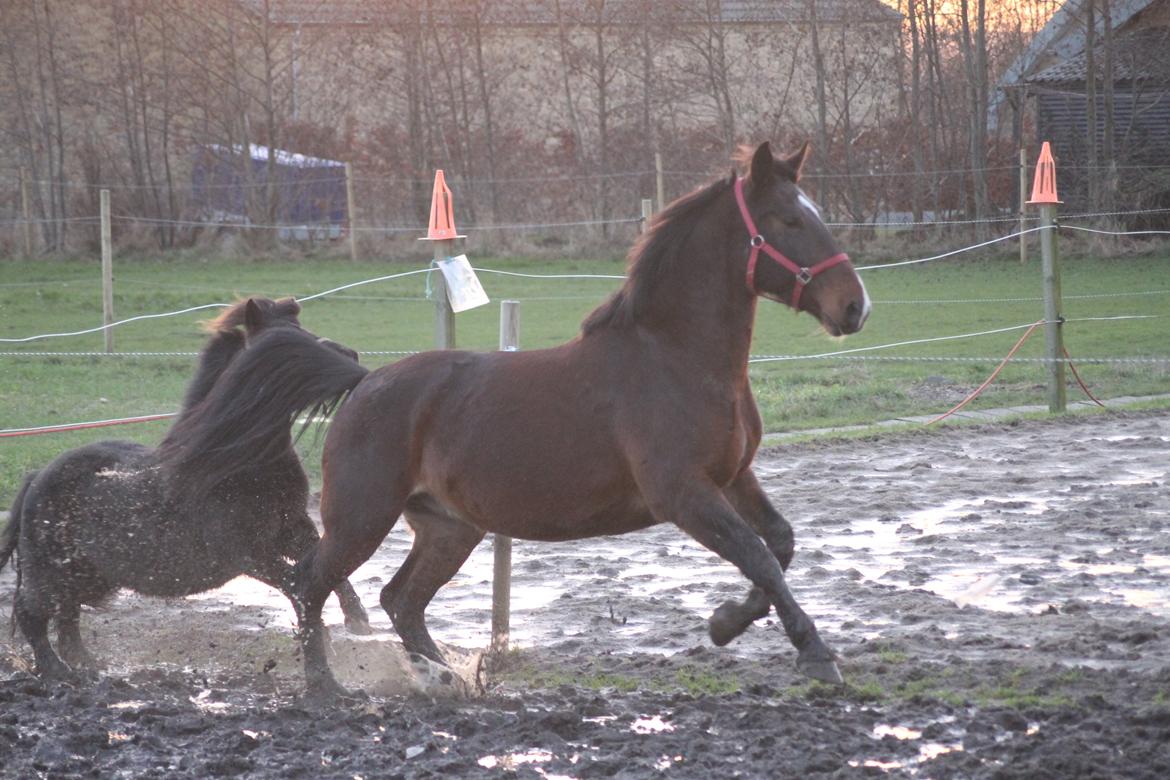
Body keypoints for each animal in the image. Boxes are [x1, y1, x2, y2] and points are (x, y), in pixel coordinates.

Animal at [0, 297, 372, 678]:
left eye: (302, 330)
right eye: (284, 339)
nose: (352, 354)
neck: (238, 462)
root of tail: (36, 477)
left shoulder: (291, 527)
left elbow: (327, 564)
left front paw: (357, 619)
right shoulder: (250, 553)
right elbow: (296, 583)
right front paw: (323, 633)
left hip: (87, 574)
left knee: (68, 616)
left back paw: (88, 666)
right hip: (50, 571)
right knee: (33, 615)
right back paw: (56, 672)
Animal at [292, 142, 875, 701]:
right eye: (788, 220)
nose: (855, 307)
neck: (675, 359)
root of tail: (363, 382)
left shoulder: (733, 477)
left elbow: (779, 544)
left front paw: (726, 622)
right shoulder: (683, 494)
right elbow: (758, 555)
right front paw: (814, 655)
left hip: (450, 528)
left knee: (402, 599)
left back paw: (443, 677)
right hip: (362, 519)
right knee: (311, 586)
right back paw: (325, 687)